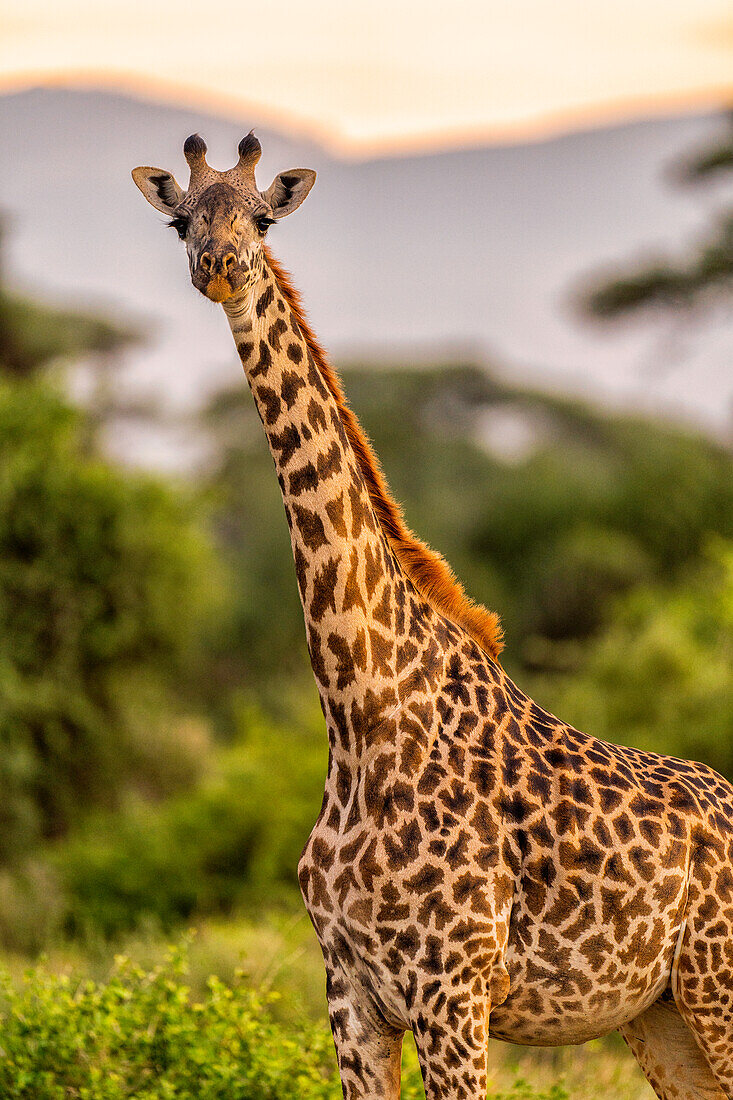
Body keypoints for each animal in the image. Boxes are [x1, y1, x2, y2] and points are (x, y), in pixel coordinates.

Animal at [134, 135, 730, 1100]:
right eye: (181, 222)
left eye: (262, 218)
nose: (220, 266)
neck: (363, 714)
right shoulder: (351, 997)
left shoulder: (454, 989)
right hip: (660, 1013)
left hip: (713, 988)